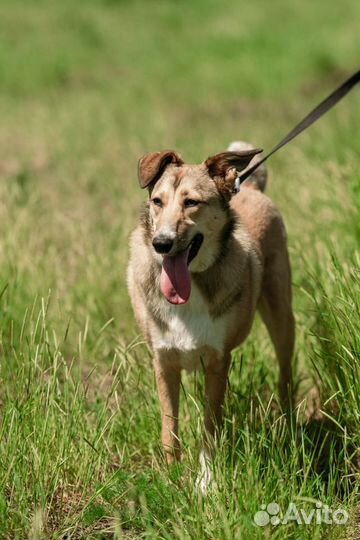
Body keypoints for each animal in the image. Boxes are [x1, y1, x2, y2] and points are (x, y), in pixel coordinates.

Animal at [128, 140, 294, 490]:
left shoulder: (219, 361)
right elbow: (169, 427)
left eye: (192, 202)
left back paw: (288, 424)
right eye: (157, 201)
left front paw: (206, 483)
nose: (161, 243)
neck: (191, 285)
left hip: (282, 315)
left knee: (285, 369)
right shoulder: (163, 360)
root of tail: (249, 187)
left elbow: (210, 426)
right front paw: (172, 480)